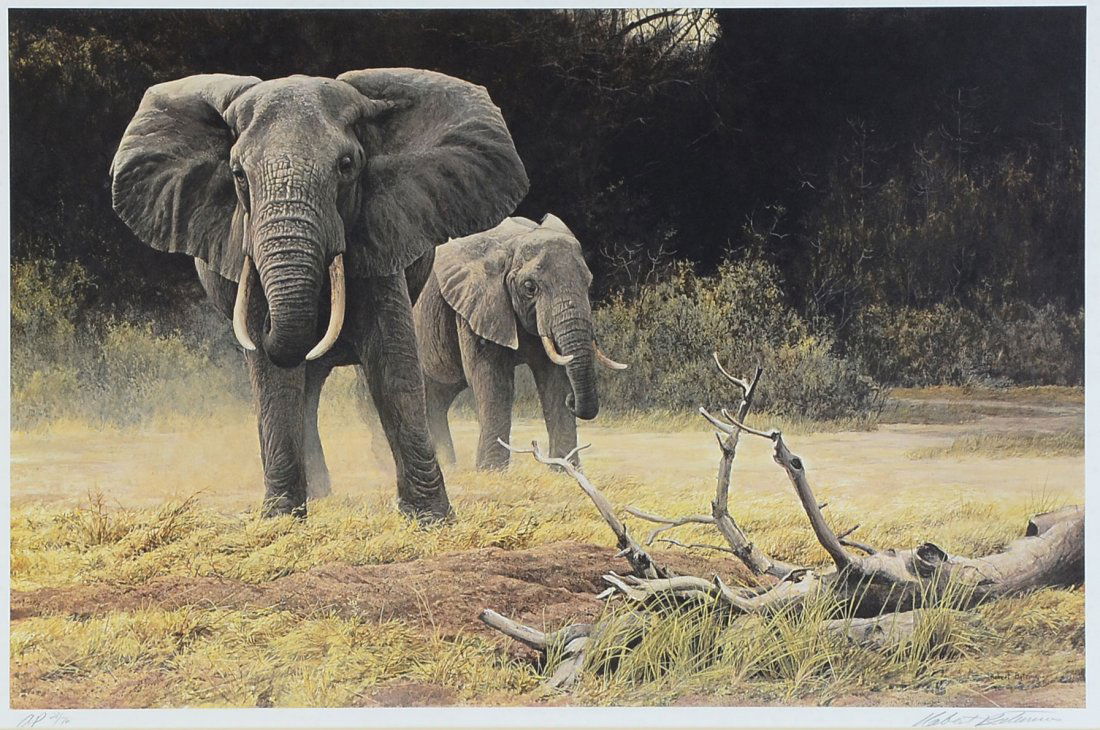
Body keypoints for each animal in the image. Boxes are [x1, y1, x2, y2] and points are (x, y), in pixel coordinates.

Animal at [109, 70, 529, 520]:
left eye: (346, 166)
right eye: (238, 174)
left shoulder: (380, 233)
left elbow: (391, 360)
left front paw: (431, 519)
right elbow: (273, 373)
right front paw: (279, 519)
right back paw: (317, 494)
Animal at [408, 214, 628, 471]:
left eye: (589, 283)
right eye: (530, 287)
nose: (572, 401)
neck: (515, 242)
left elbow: (554, 380)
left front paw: (565, 470)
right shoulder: (476, 305)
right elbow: (494, 380)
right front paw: (491, 472)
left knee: (436, 400)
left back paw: (448, 466)